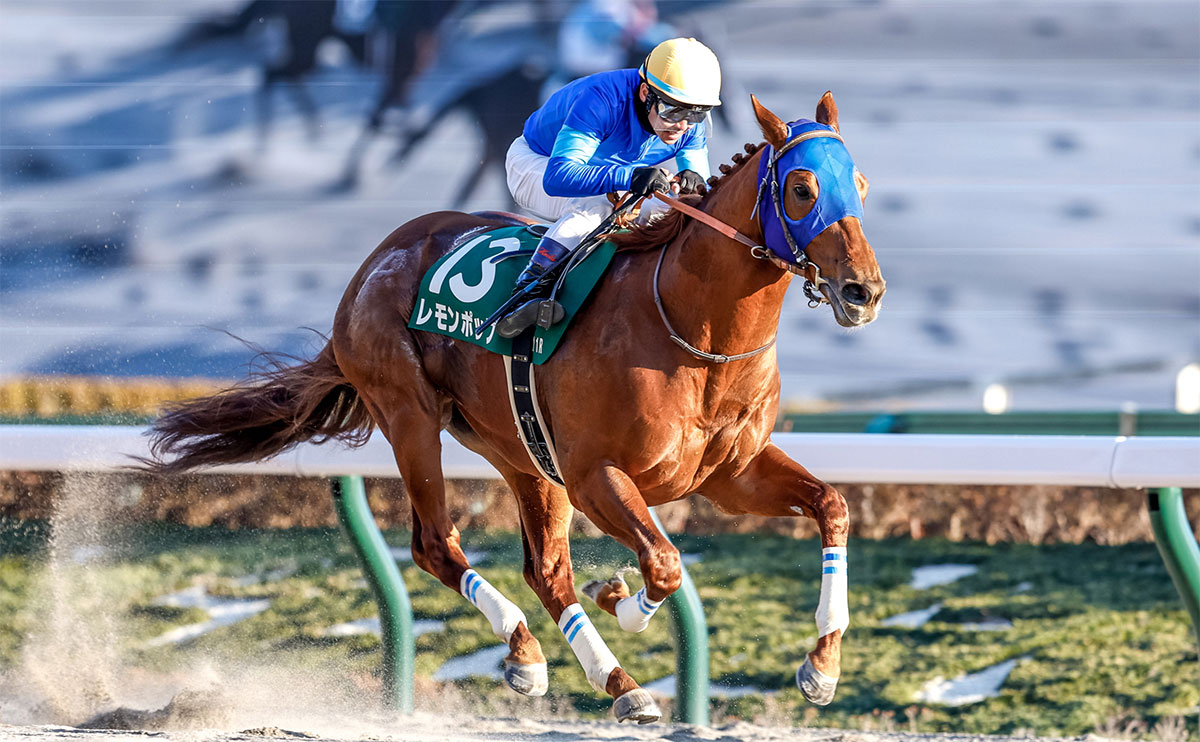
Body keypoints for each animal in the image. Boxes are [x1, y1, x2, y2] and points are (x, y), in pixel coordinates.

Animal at [145, 93, 888, 720]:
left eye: (861, 185)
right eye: (802, 188)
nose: (864, 291)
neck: (692, 329)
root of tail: (372, 265)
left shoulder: (727, 476)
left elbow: (832, 506)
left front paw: (821, 668)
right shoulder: (595, 476)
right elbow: (664, 563)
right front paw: (621, 599)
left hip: (522, 451)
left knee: (546, 570)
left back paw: (610, 682)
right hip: (412, 418)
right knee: (435, 545)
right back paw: (531, 653)